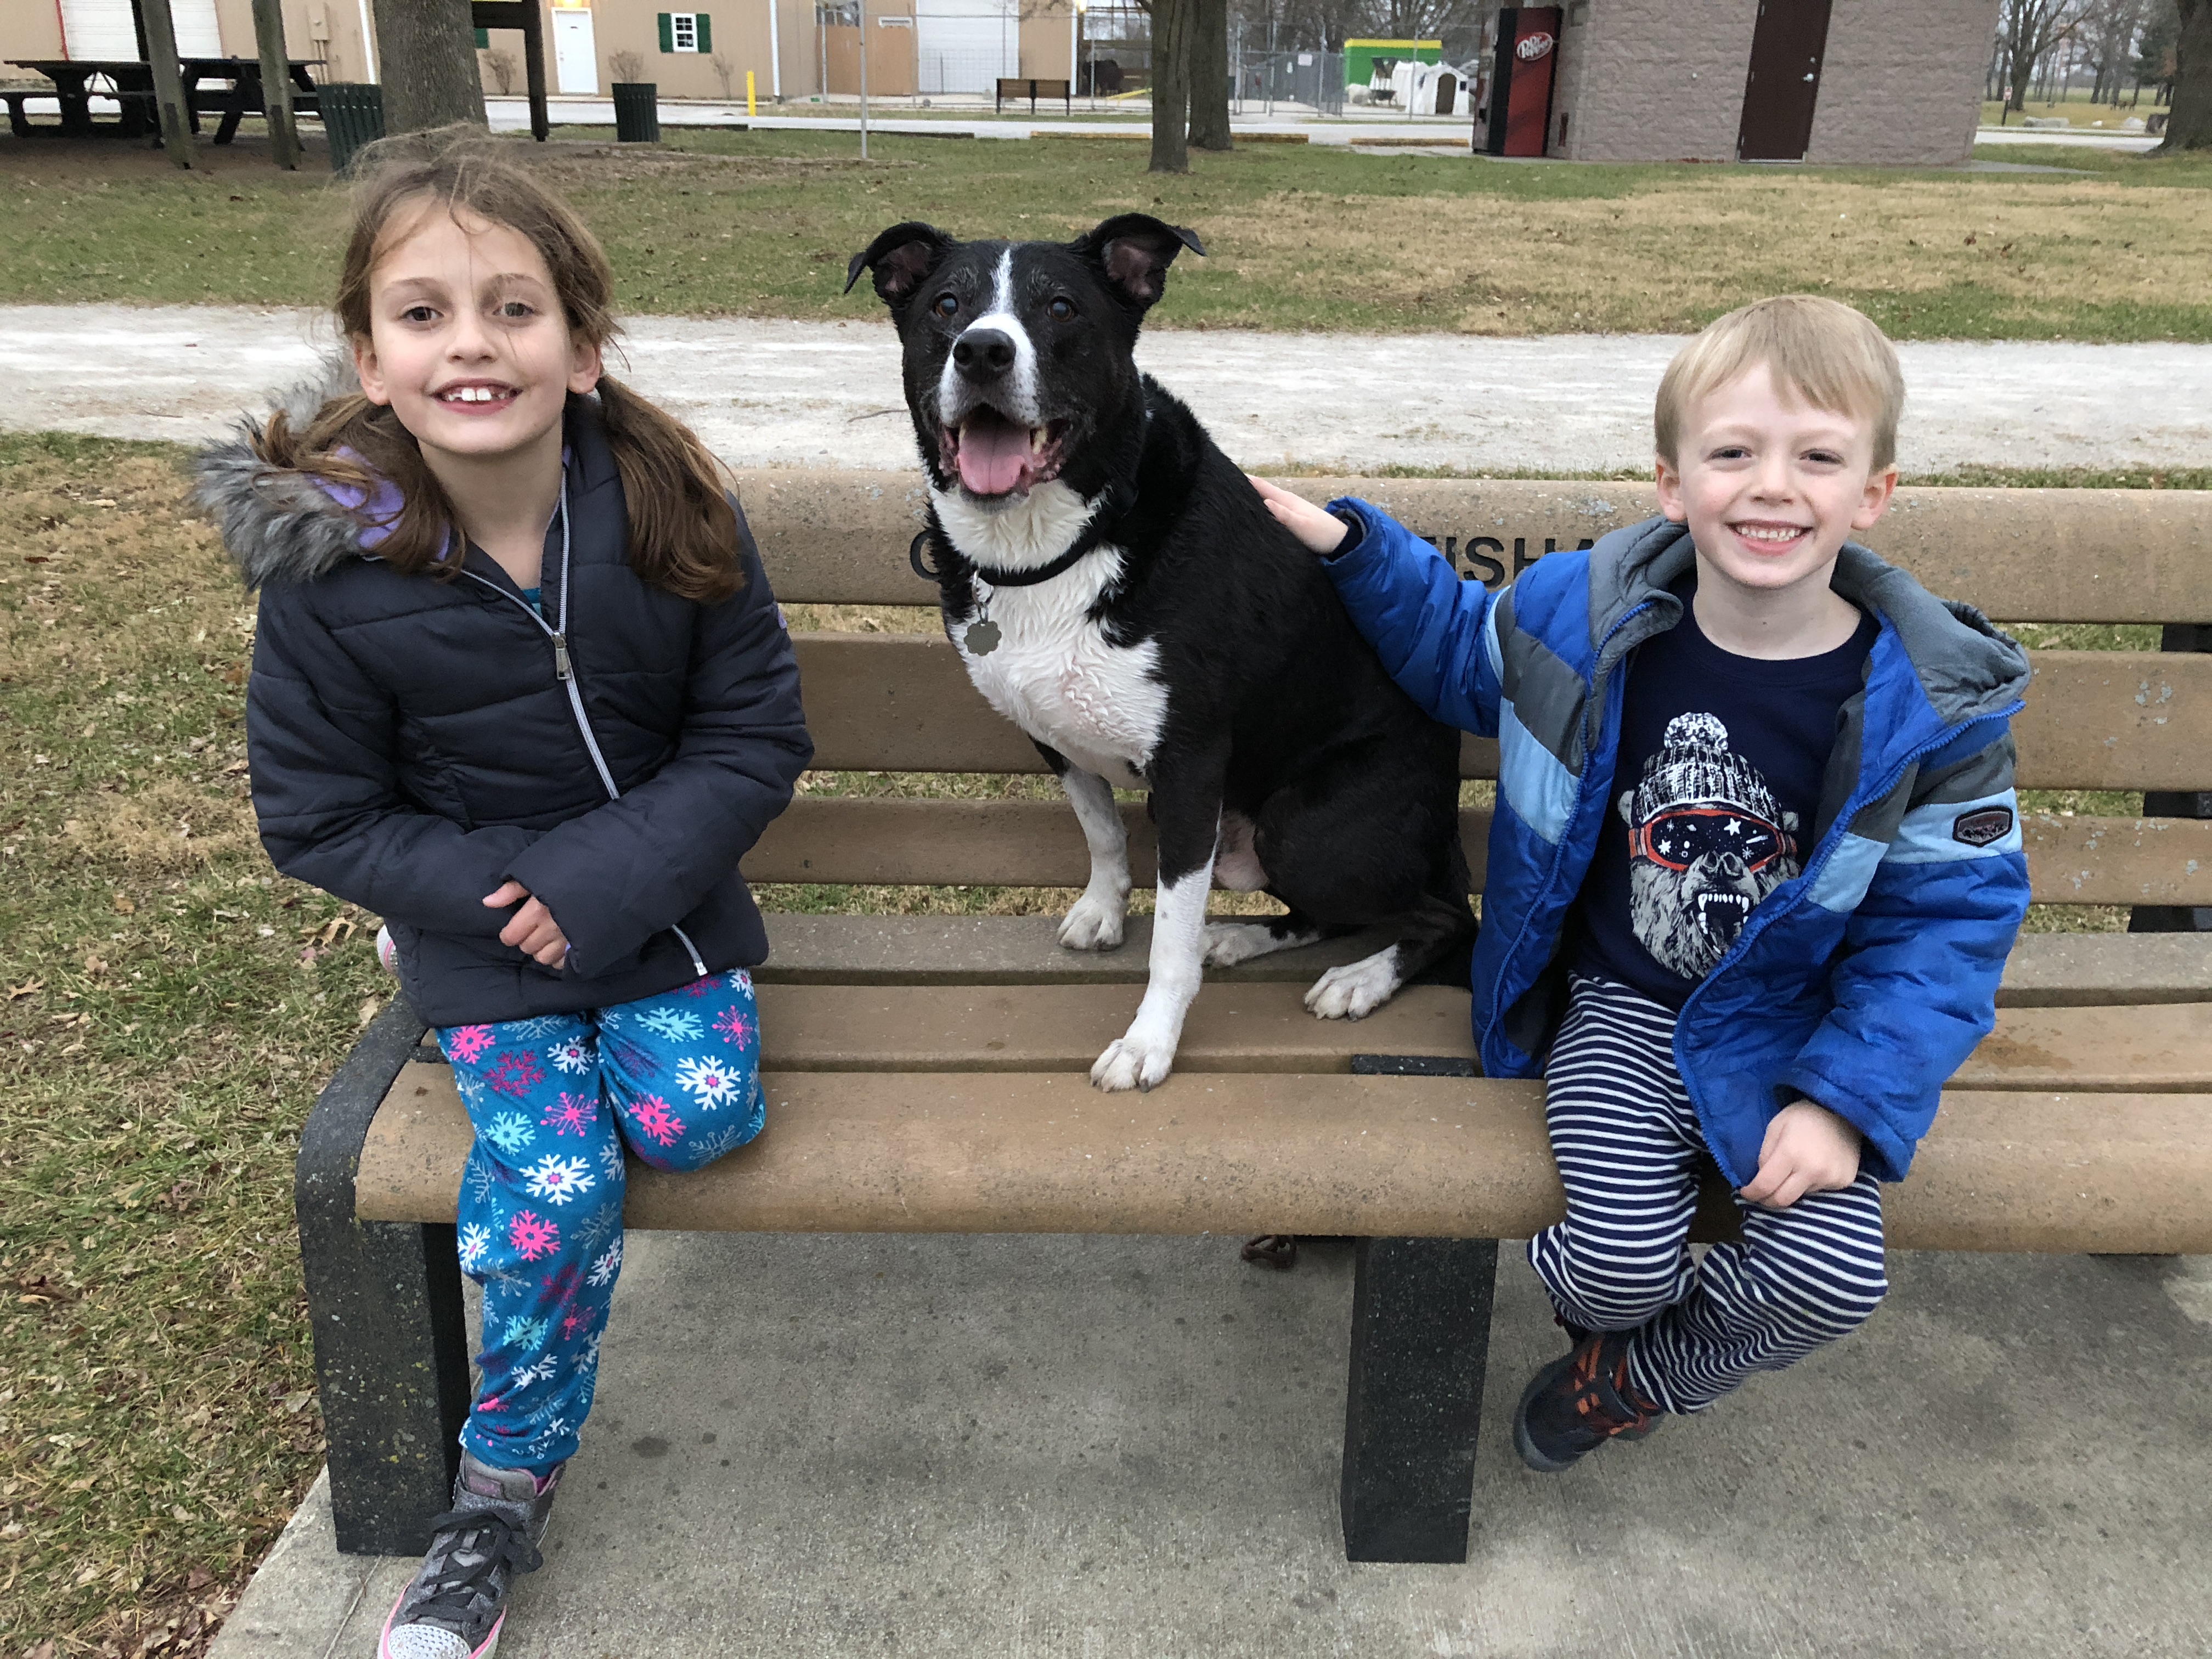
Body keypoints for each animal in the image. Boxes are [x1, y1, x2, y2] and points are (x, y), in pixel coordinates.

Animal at [846, 213, 1474, 1092]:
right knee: (1321, 914)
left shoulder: (1190, 765)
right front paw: (1104, 910)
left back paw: (1361, 978)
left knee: (1447, 918)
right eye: (945, 304)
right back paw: (1243, 937)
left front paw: (1150, 1041)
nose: (982, 352)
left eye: (1062, 307)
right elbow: (1103, 831)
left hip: (1309, 830)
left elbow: (1171, 932)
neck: (1053, 547)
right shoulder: (1051, 733)